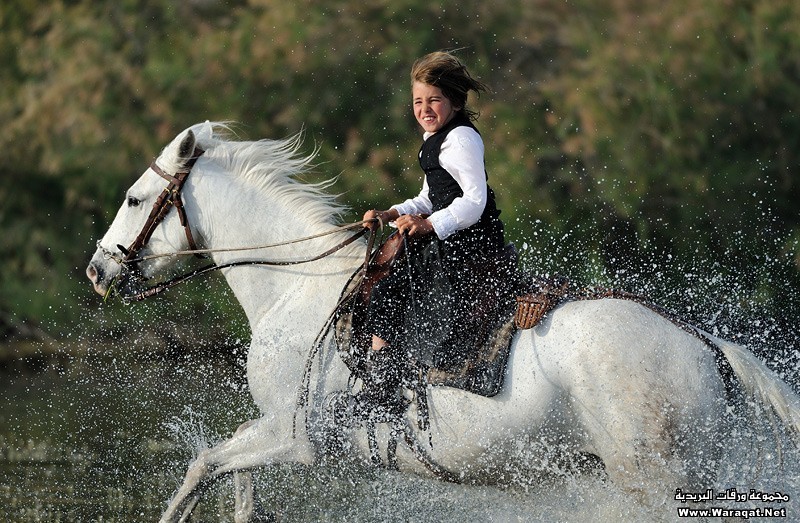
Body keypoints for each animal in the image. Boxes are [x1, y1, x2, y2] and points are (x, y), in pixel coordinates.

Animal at [86, 121, 800, 520]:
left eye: (135, 199)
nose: (96, 270)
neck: (295, 289)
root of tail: (703, 344)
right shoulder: (276, 432)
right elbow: (229, 472)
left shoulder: (299, 438)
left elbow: (203, 465)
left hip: (653, 477)